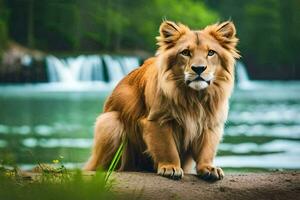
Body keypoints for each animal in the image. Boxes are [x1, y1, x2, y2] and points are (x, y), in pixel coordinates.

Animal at [84, 20, 239, 181]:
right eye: (185, 52)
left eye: (211, 52)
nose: (199, 68)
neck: (194, 97)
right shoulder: (158, 120)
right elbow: (167, 148)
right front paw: (170, 168)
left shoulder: (210, 124)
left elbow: (207, 149)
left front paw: (208, 168)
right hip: (110, 121)